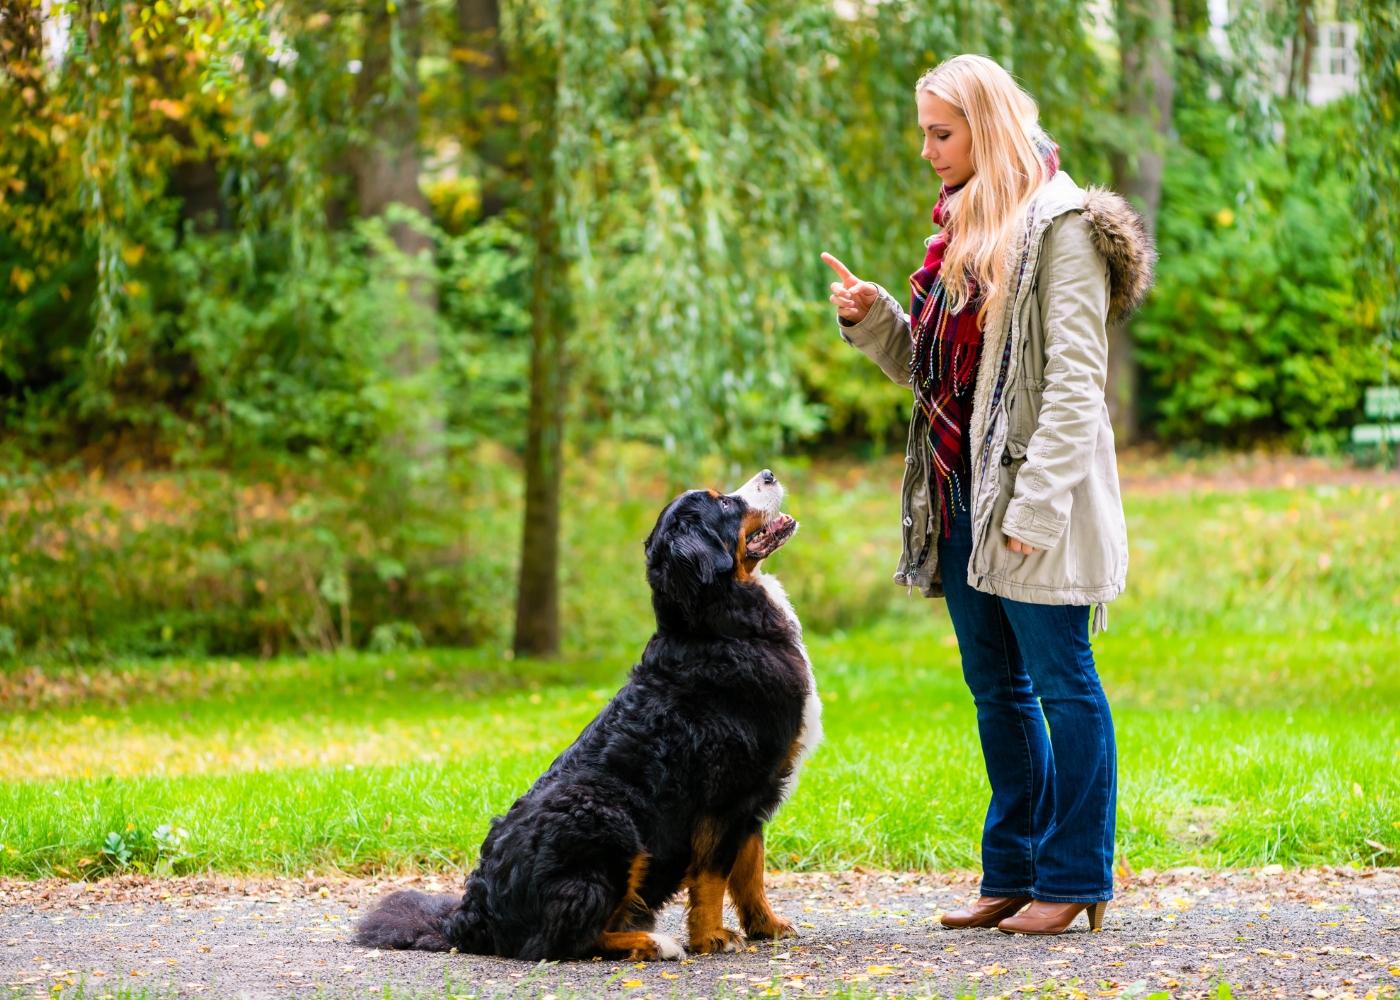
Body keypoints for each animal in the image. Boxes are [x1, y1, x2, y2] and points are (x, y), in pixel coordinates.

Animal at [350, 467, 823, 957]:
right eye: (725, 504)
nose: (768, 473)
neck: (718, 627)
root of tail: (471, 916)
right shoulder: (728, 793)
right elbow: (713, 875)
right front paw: (711, 937)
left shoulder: (755, 794)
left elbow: (750, 871)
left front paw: (766, 925)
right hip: (608, 820)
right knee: (565, 939)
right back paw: (655, 942)